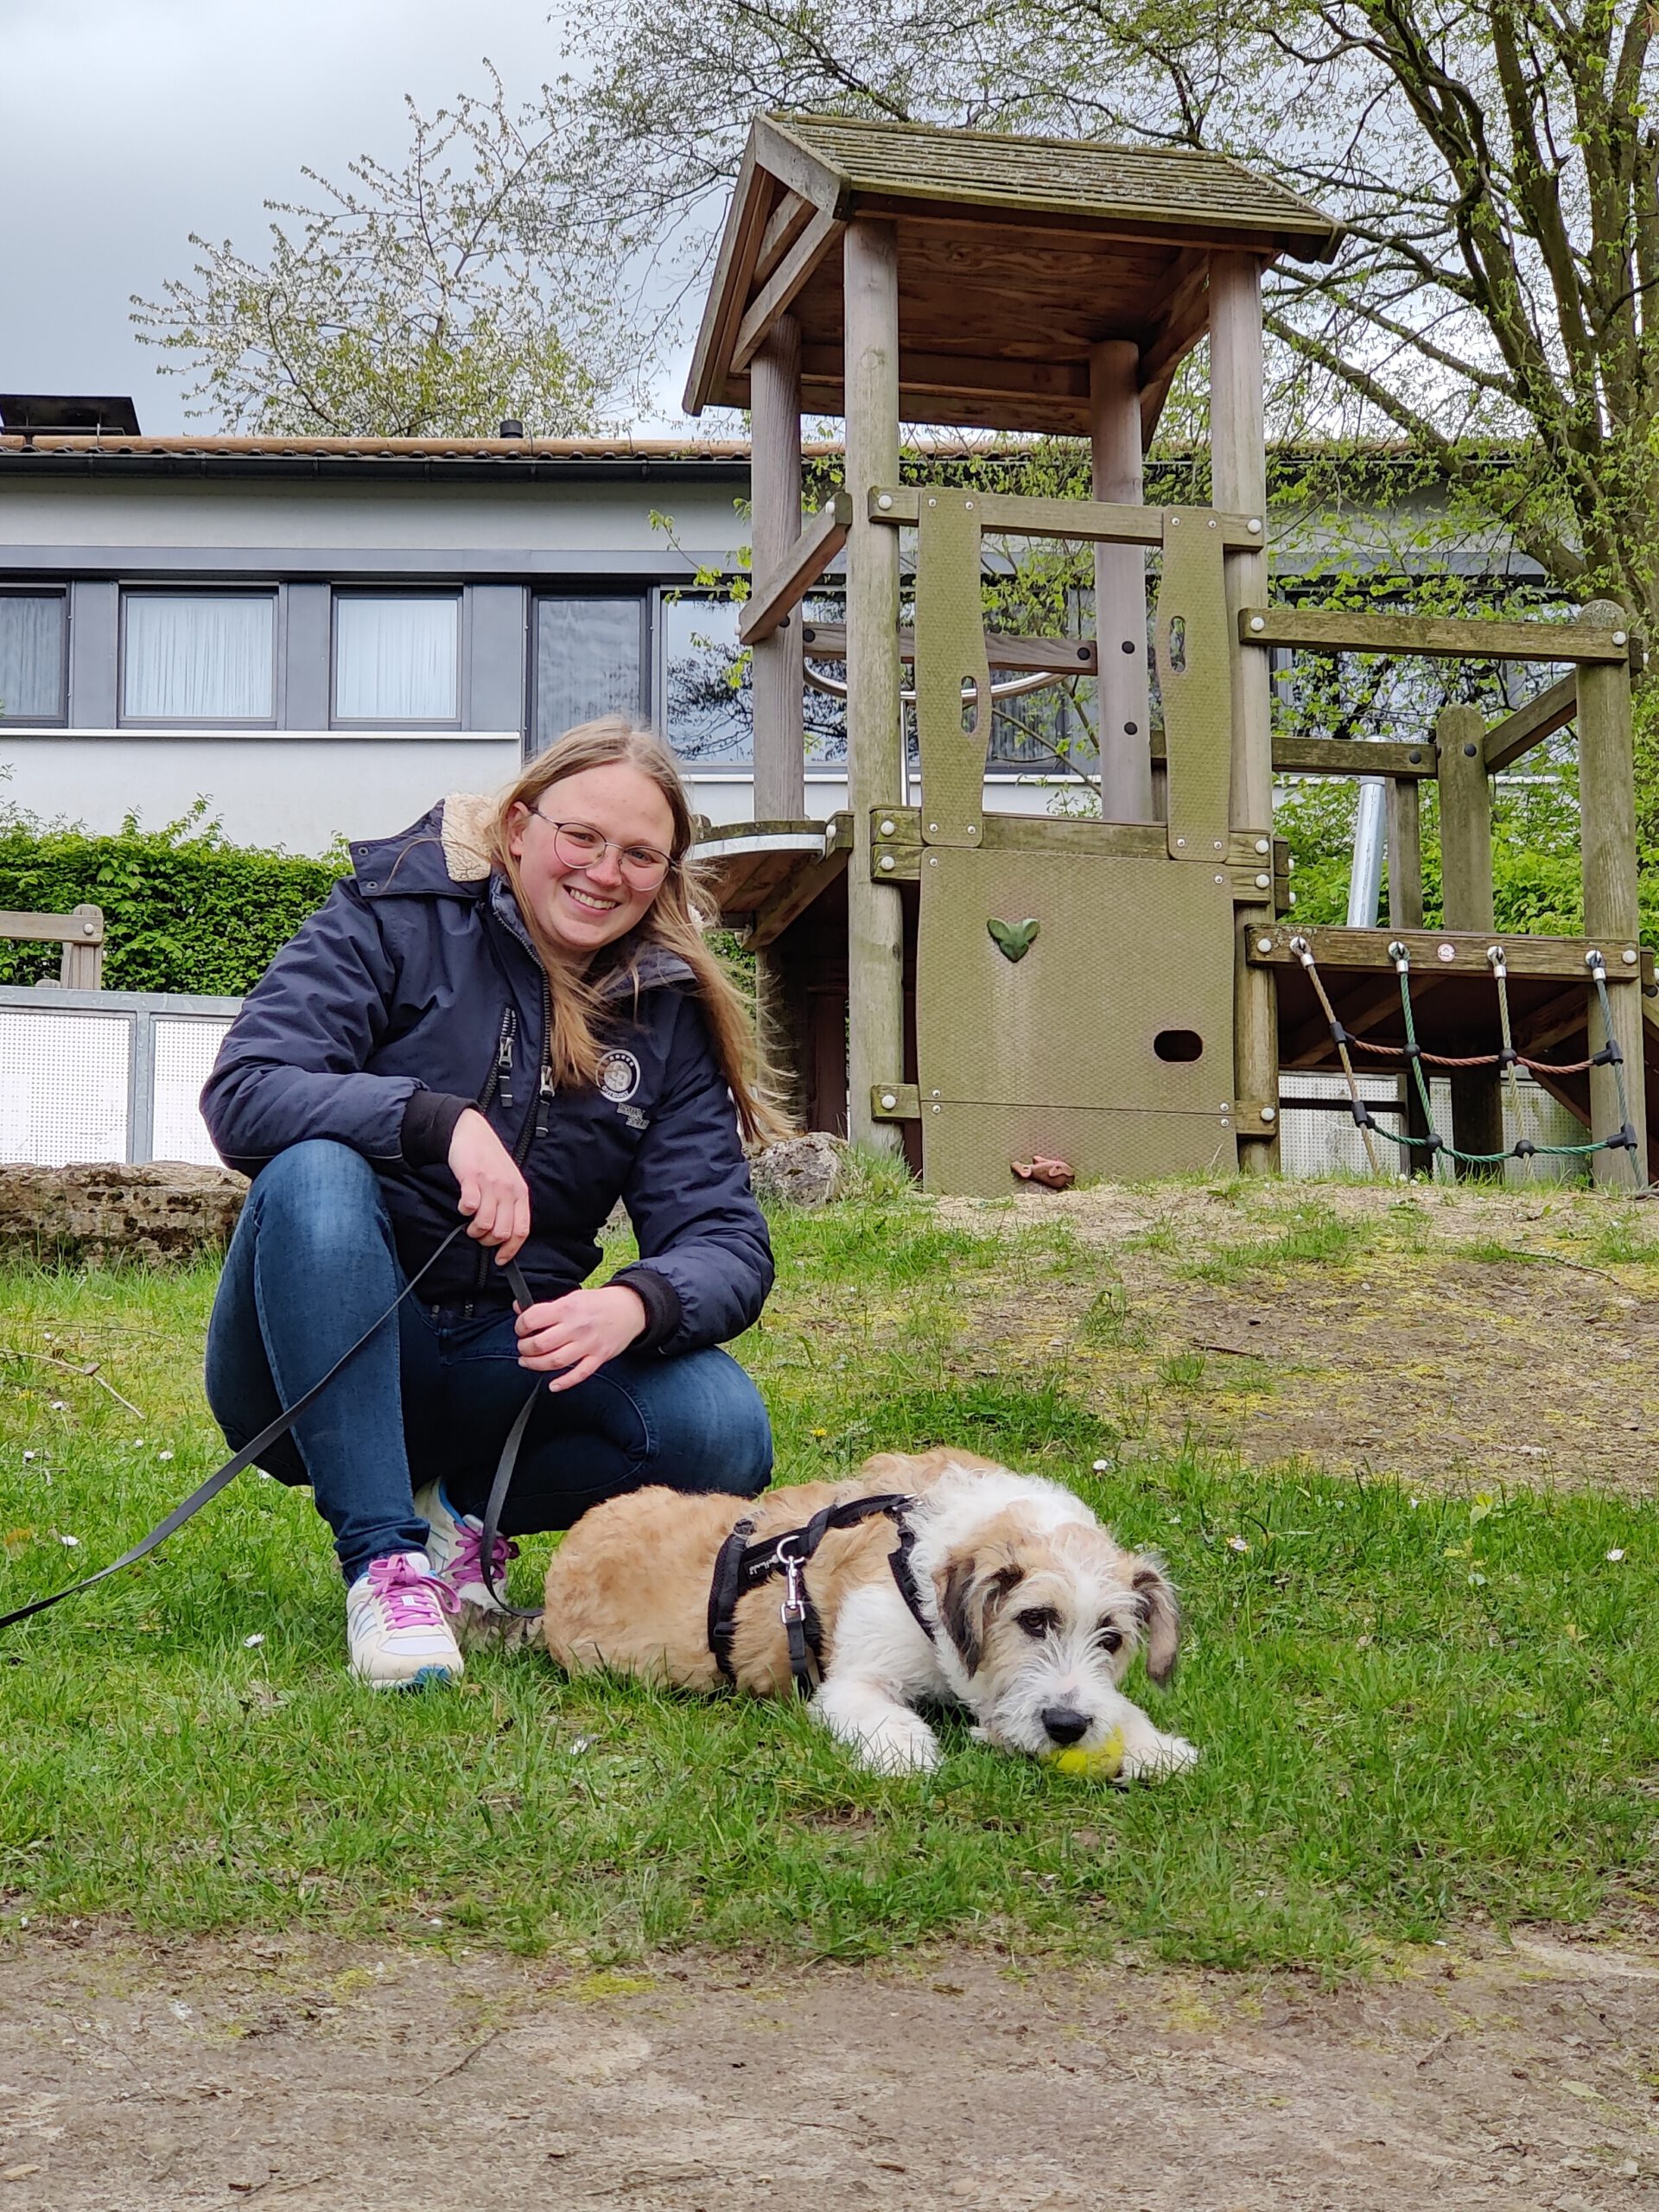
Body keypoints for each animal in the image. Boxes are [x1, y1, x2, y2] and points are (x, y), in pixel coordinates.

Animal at [540, 1449, 1198, 1779]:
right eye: (1033, 1620)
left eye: (1111, 1640)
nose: (1066, 1727)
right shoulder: (854, 1678)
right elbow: (886, 1719)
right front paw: (910, 1755)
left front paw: (1154, 1745)